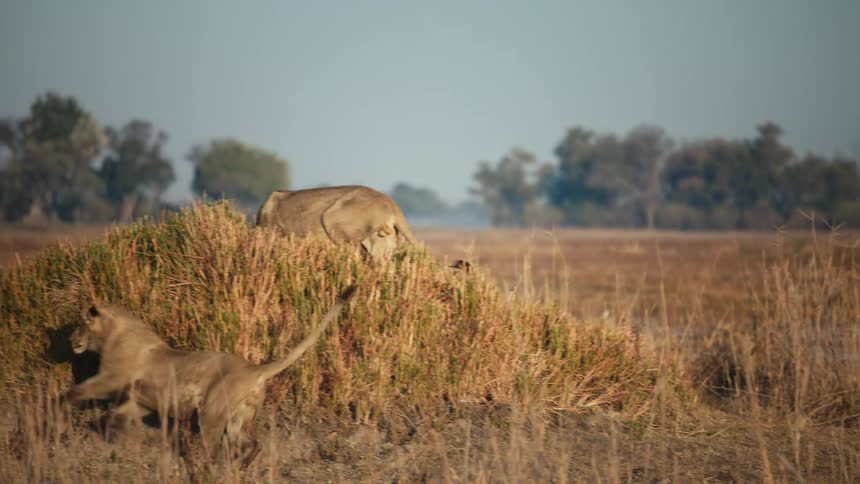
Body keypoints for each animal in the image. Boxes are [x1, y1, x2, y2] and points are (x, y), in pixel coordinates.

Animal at [64, 285, 357, 467]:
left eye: (80, 324)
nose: (70, 339)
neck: (111, 336)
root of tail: (254, 369)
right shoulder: (140, 401)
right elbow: (113, 416)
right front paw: (108, 437)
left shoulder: (111, 378)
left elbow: (76, 391)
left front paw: (60, 410)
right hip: (239, 417)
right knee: (253, 443)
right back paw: (242, 465)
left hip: (210, 414)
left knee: (216, 450)